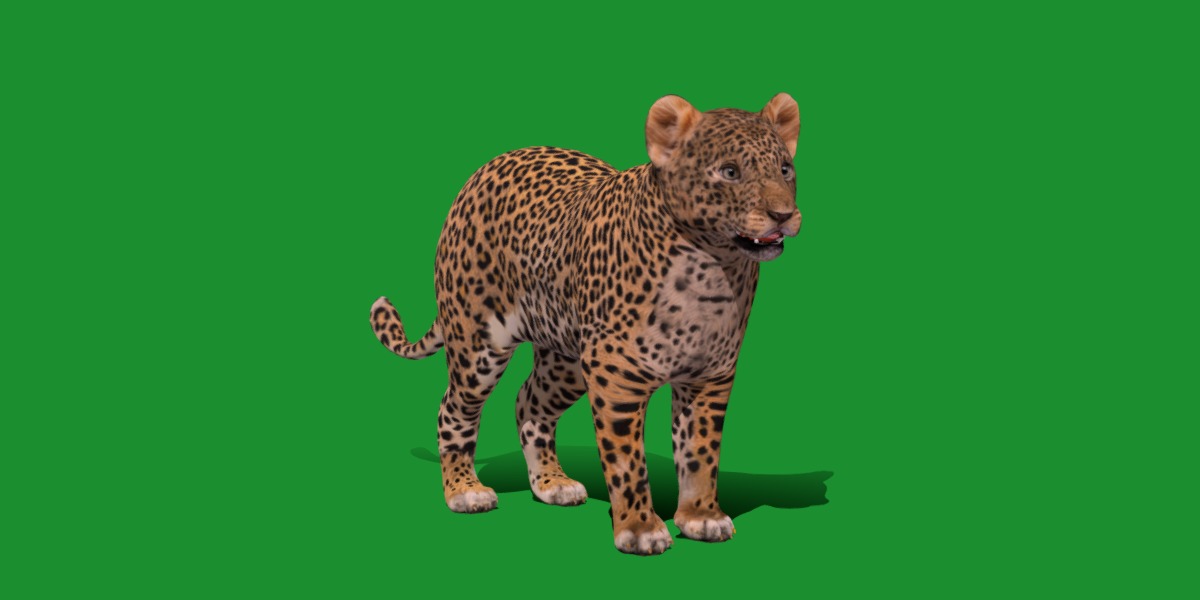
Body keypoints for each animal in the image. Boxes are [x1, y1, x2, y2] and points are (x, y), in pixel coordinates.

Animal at [370, 93, 802, 555]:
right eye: (730, 172)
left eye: (785, 169)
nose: (783, 215)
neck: (712, 268)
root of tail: (486, 168)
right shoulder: (617, 378)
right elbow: (627, 462)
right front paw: (641, 529)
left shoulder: (709, 376)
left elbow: (701, 452)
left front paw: (701, 517)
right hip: (478, 346)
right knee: (452, 410)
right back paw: (465, 490)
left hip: (567, 360)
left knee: (528, 403)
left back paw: (551, 483)